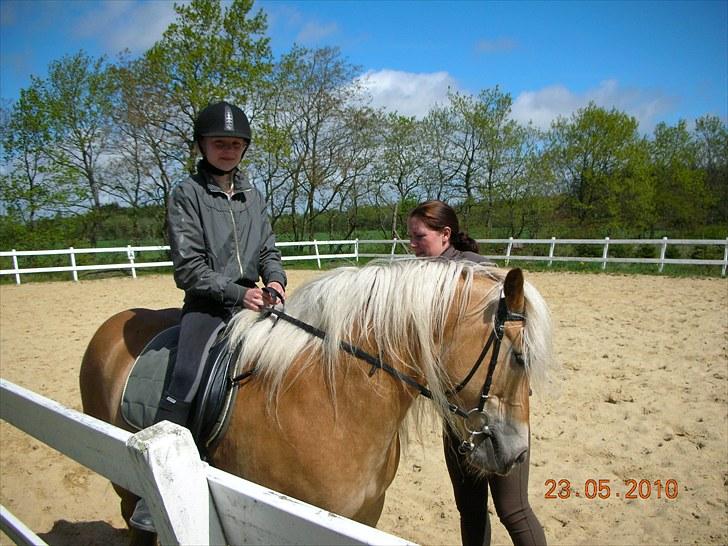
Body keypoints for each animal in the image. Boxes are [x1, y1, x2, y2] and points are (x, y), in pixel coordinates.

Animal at [79, 260, 556, 540]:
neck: (334, 401)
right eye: (518, 356)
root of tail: (110, 326)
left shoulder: (364, 514)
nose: (519, 452)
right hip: (124, 478)